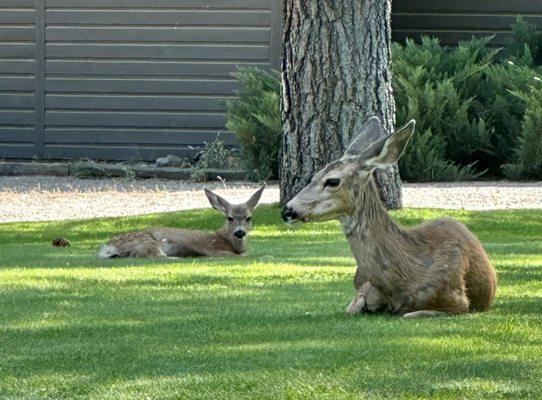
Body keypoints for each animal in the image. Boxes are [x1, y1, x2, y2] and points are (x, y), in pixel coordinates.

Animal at [100, 185, 268, 260]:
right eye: (230, 218)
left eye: (249, 218)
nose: (240, 232)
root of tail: (108, 247)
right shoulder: (209, 247)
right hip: (147, 240)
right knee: (154, 255)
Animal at [282, 117, 500, 318]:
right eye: (313, 176)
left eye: (333, 181)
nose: (287, 210)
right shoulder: (361, 290)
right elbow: (353, 308)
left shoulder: (457, 302)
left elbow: (408, 314)